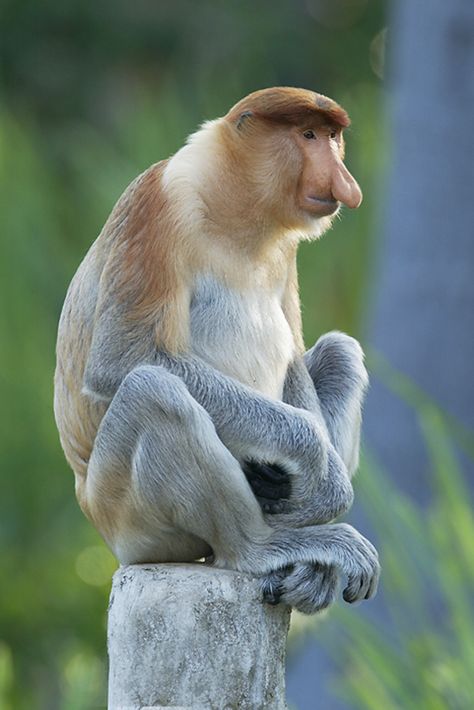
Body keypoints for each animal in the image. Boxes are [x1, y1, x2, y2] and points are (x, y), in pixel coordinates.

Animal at [54, 87, 378, 612]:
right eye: (308, 134)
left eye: (333, 137)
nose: (346, 185)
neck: (237, 211)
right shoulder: (156, 206)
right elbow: (122, 358)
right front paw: (321, 472)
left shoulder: (285, 251)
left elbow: (294, 357)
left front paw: (319, 491)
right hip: (127, 518)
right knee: (151, 392)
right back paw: (265, 547)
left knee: (340, 351)